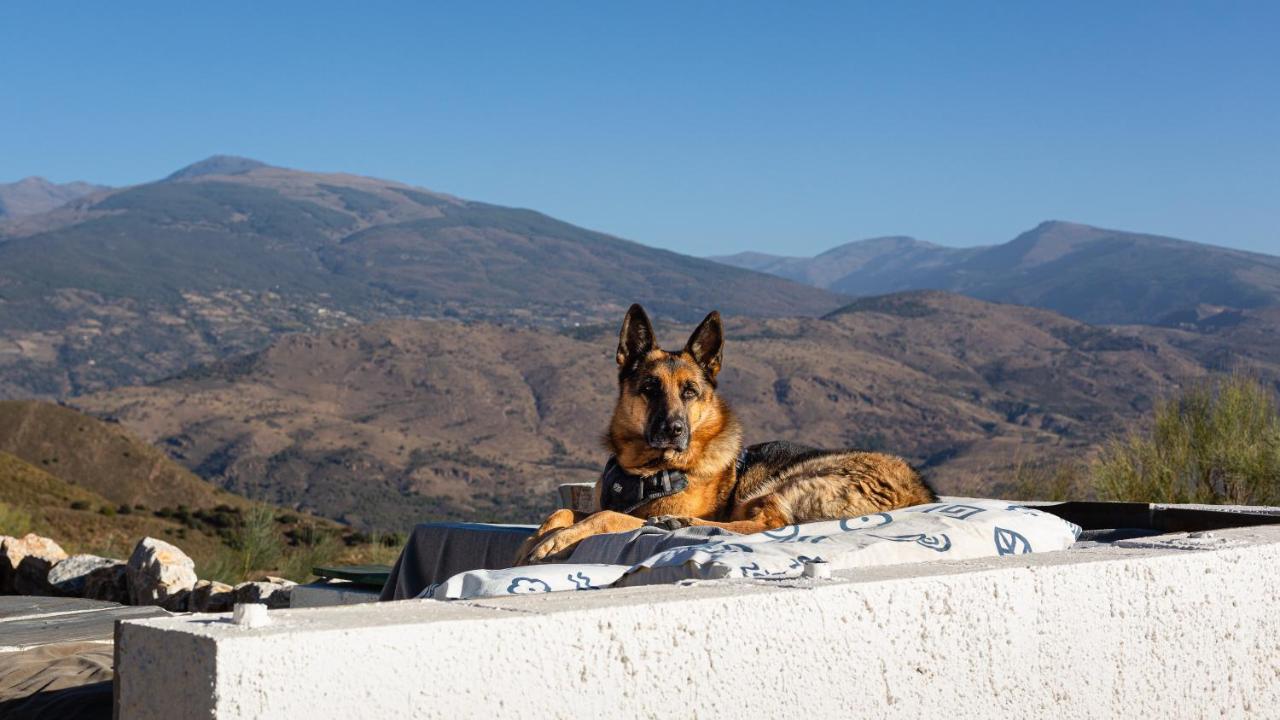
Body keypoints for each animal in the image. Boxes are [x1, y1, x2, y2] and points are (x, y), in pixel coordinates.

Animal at [514, 302, 936, 561]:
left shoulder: (623, 515)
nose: (673, 429)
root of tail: (921, 492)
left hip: (785, 482)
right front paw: (537, 537)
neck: (645, 471)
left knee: (767, 524)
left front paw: (557, 539)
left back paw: (681, 524)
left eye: (690, 391)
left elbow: (602, 517)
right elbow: (565, 509)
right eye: (649, 388)